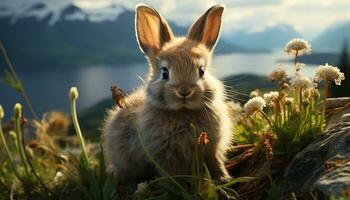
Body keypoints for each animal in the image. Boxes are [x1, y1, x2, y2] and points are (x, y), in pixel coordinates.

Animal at [104, 3, 235, 183]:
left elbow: (215, 162)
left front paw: (223, 179)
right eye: (164, 72)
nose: (184, 91)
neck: (183, 112)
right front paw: (175, 185)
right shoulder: (165, 155)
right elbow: (171, 173)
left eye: (201, 71)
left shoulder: (212, 148)